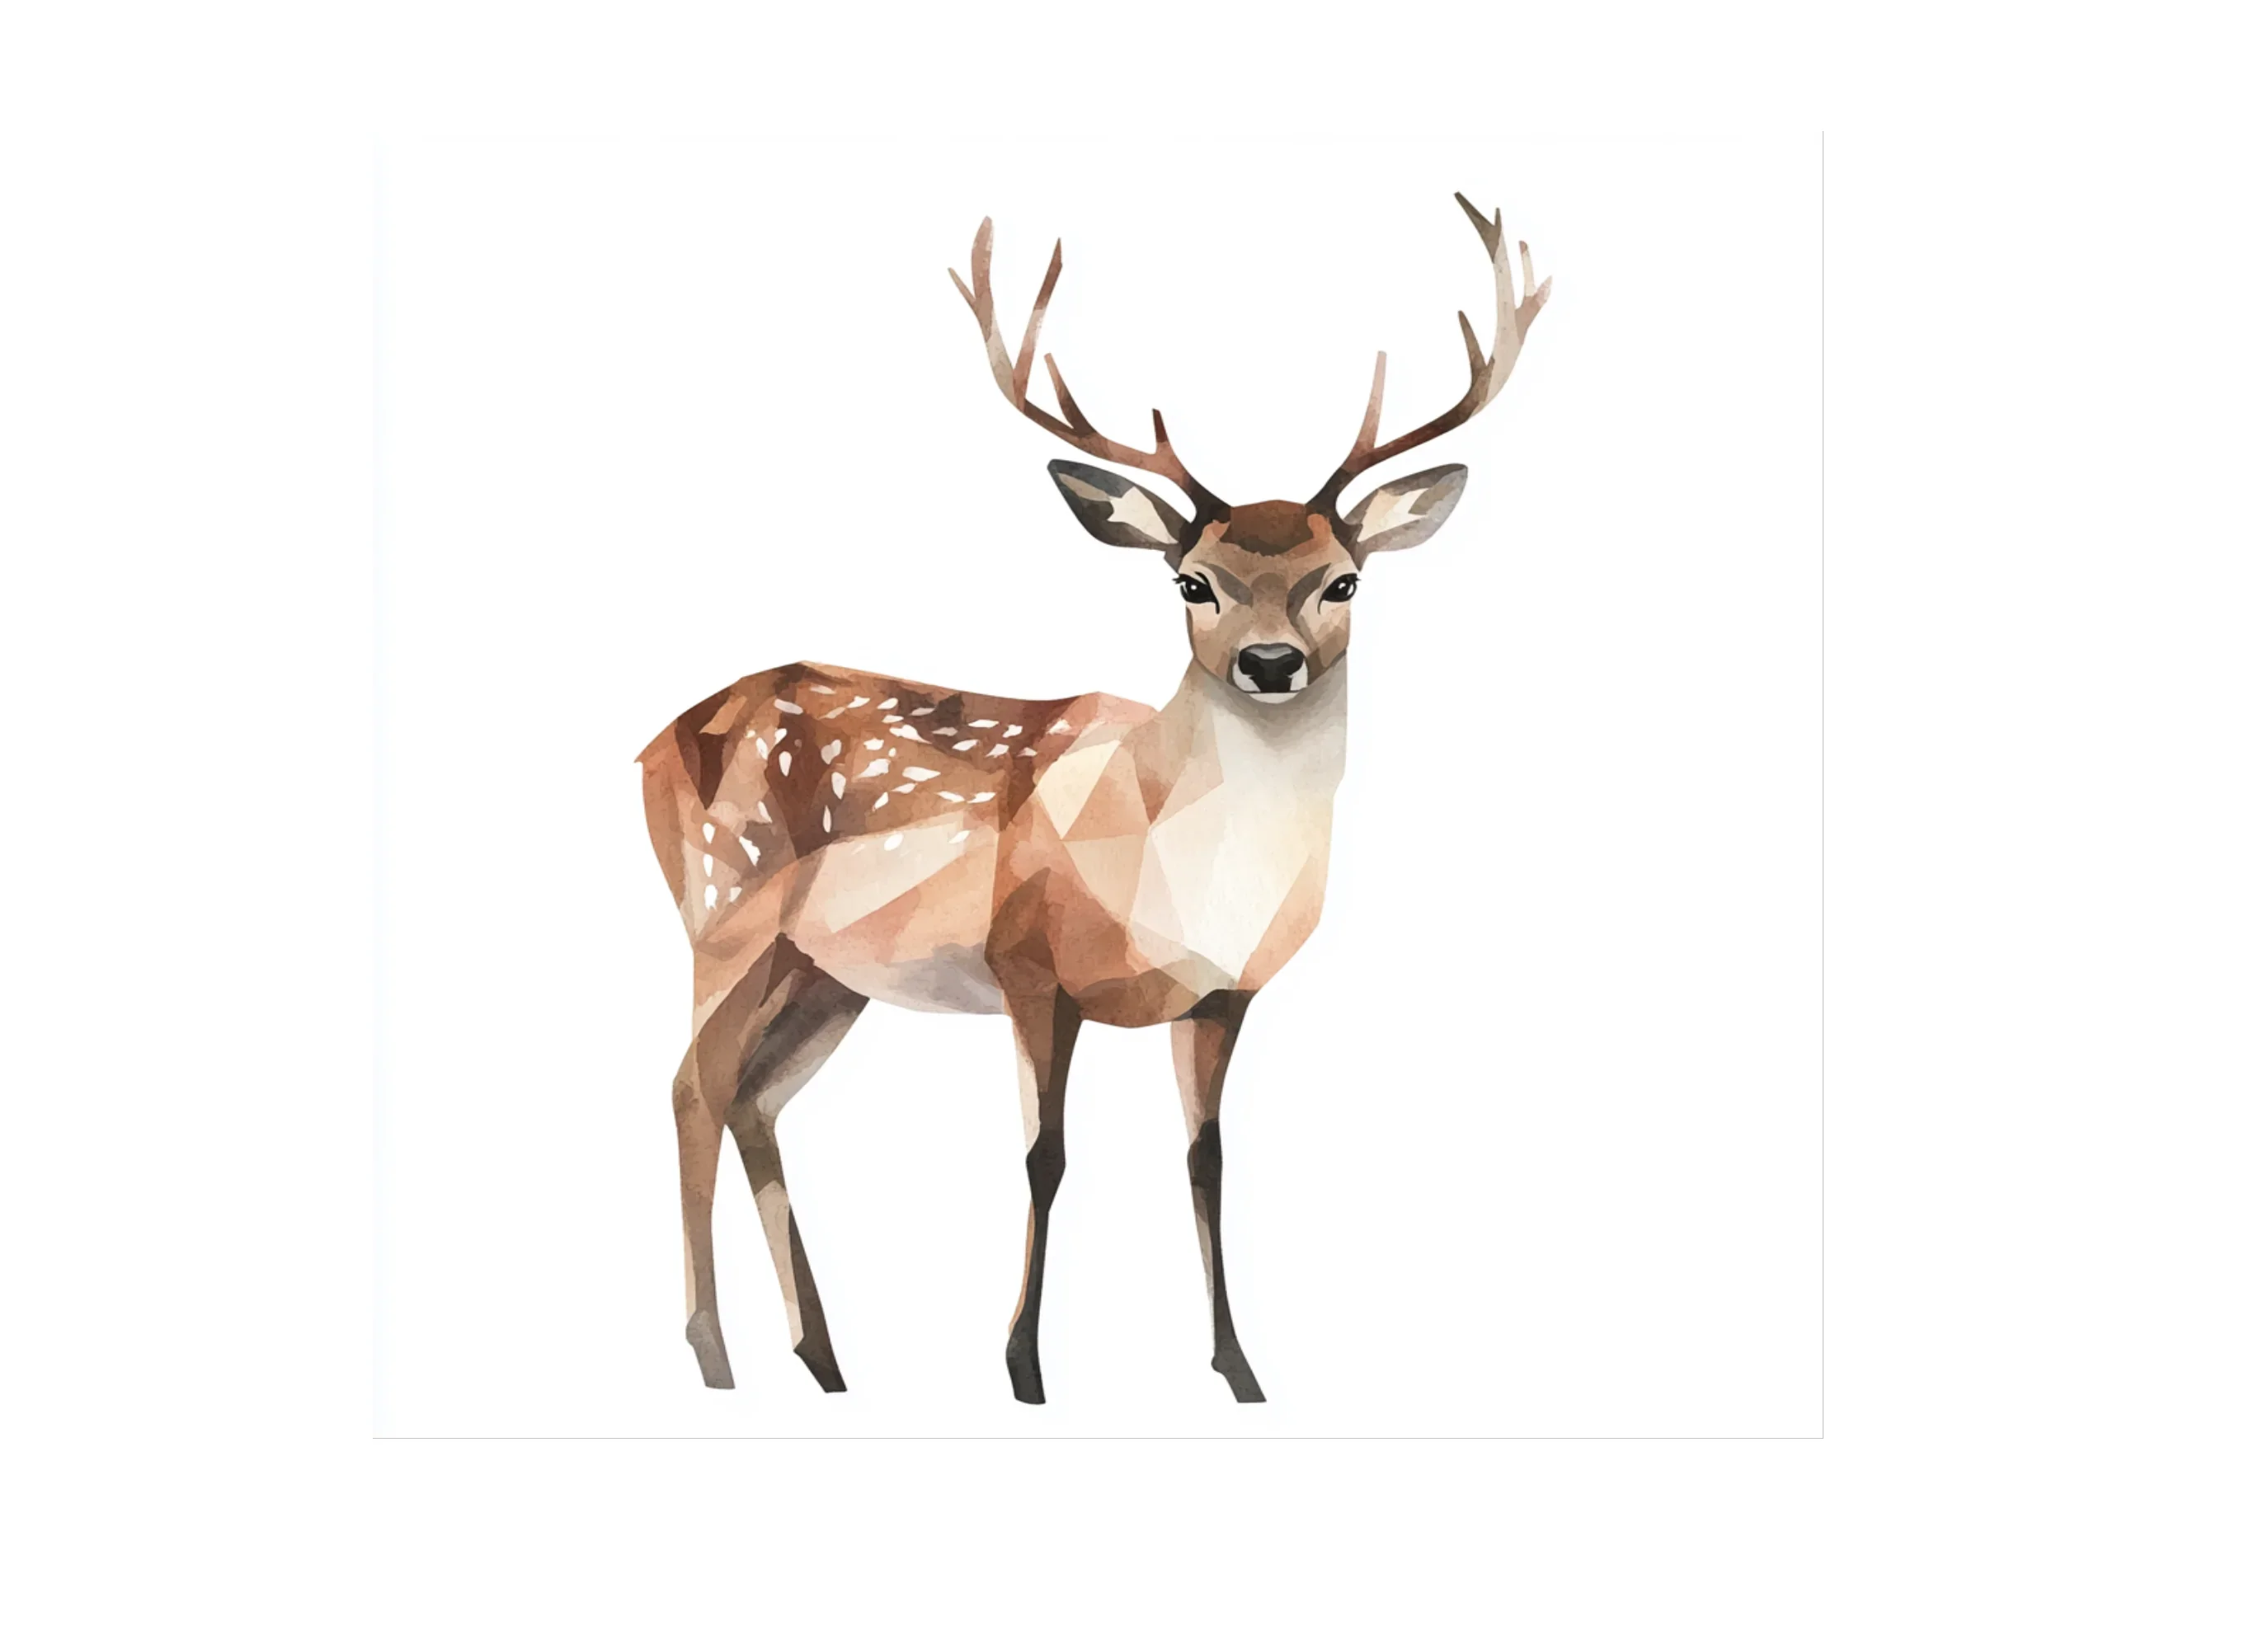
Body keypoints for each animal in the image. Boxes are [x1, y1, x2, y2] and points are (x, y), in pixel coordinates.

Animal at [637, 192, 1549, 1403]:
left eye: (1342, 580)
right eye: (1192, 581)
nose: (1268, 662)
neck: (1171, 864)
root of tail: (649, 743)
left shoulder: (1222, 995)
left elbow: (1207, 1159)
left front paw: (1238, 1368)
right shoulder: (1030, 963)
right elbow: (1044, 1155)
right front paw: (1022, 1368)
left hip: (824, 972)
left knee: (752, 1098)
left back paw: (825, 1361)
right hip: (722, 908)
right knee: (691, 1088)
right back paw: (714, 1357)